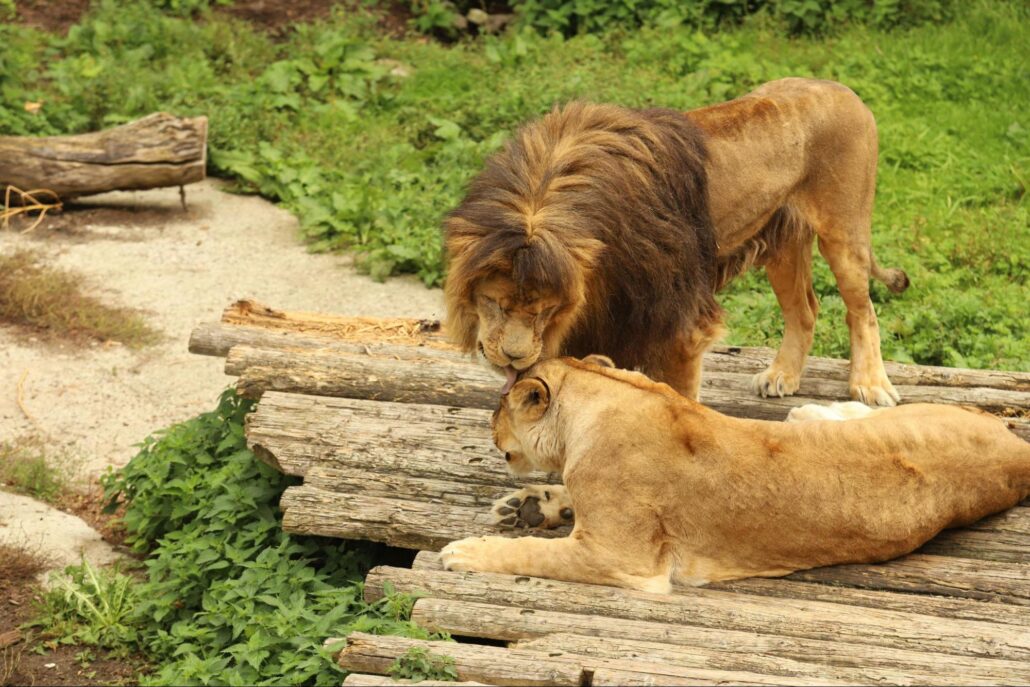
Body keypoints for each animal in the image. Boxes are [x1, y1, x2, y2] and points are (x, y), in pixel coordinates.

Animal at [440, 354, 1030, 593]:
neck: (606, 395)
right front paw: (529, 505)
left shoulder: (623, 560)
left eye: (498, 407)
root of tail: (1016, 451)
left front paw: (465, 552)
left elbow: (531, 556)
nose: (490, 424)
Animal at [444, 77, 910, 405]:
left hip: (844, 232)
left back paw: (870, 384)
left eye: (544, 309)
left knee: (862, 311)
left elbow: (676, 398)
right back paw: (783, 376)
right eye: (495, 303)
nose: (513, 359)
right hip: (782, 245)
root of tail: (844, 89)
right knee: (805, 310)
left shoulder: (680, 324)